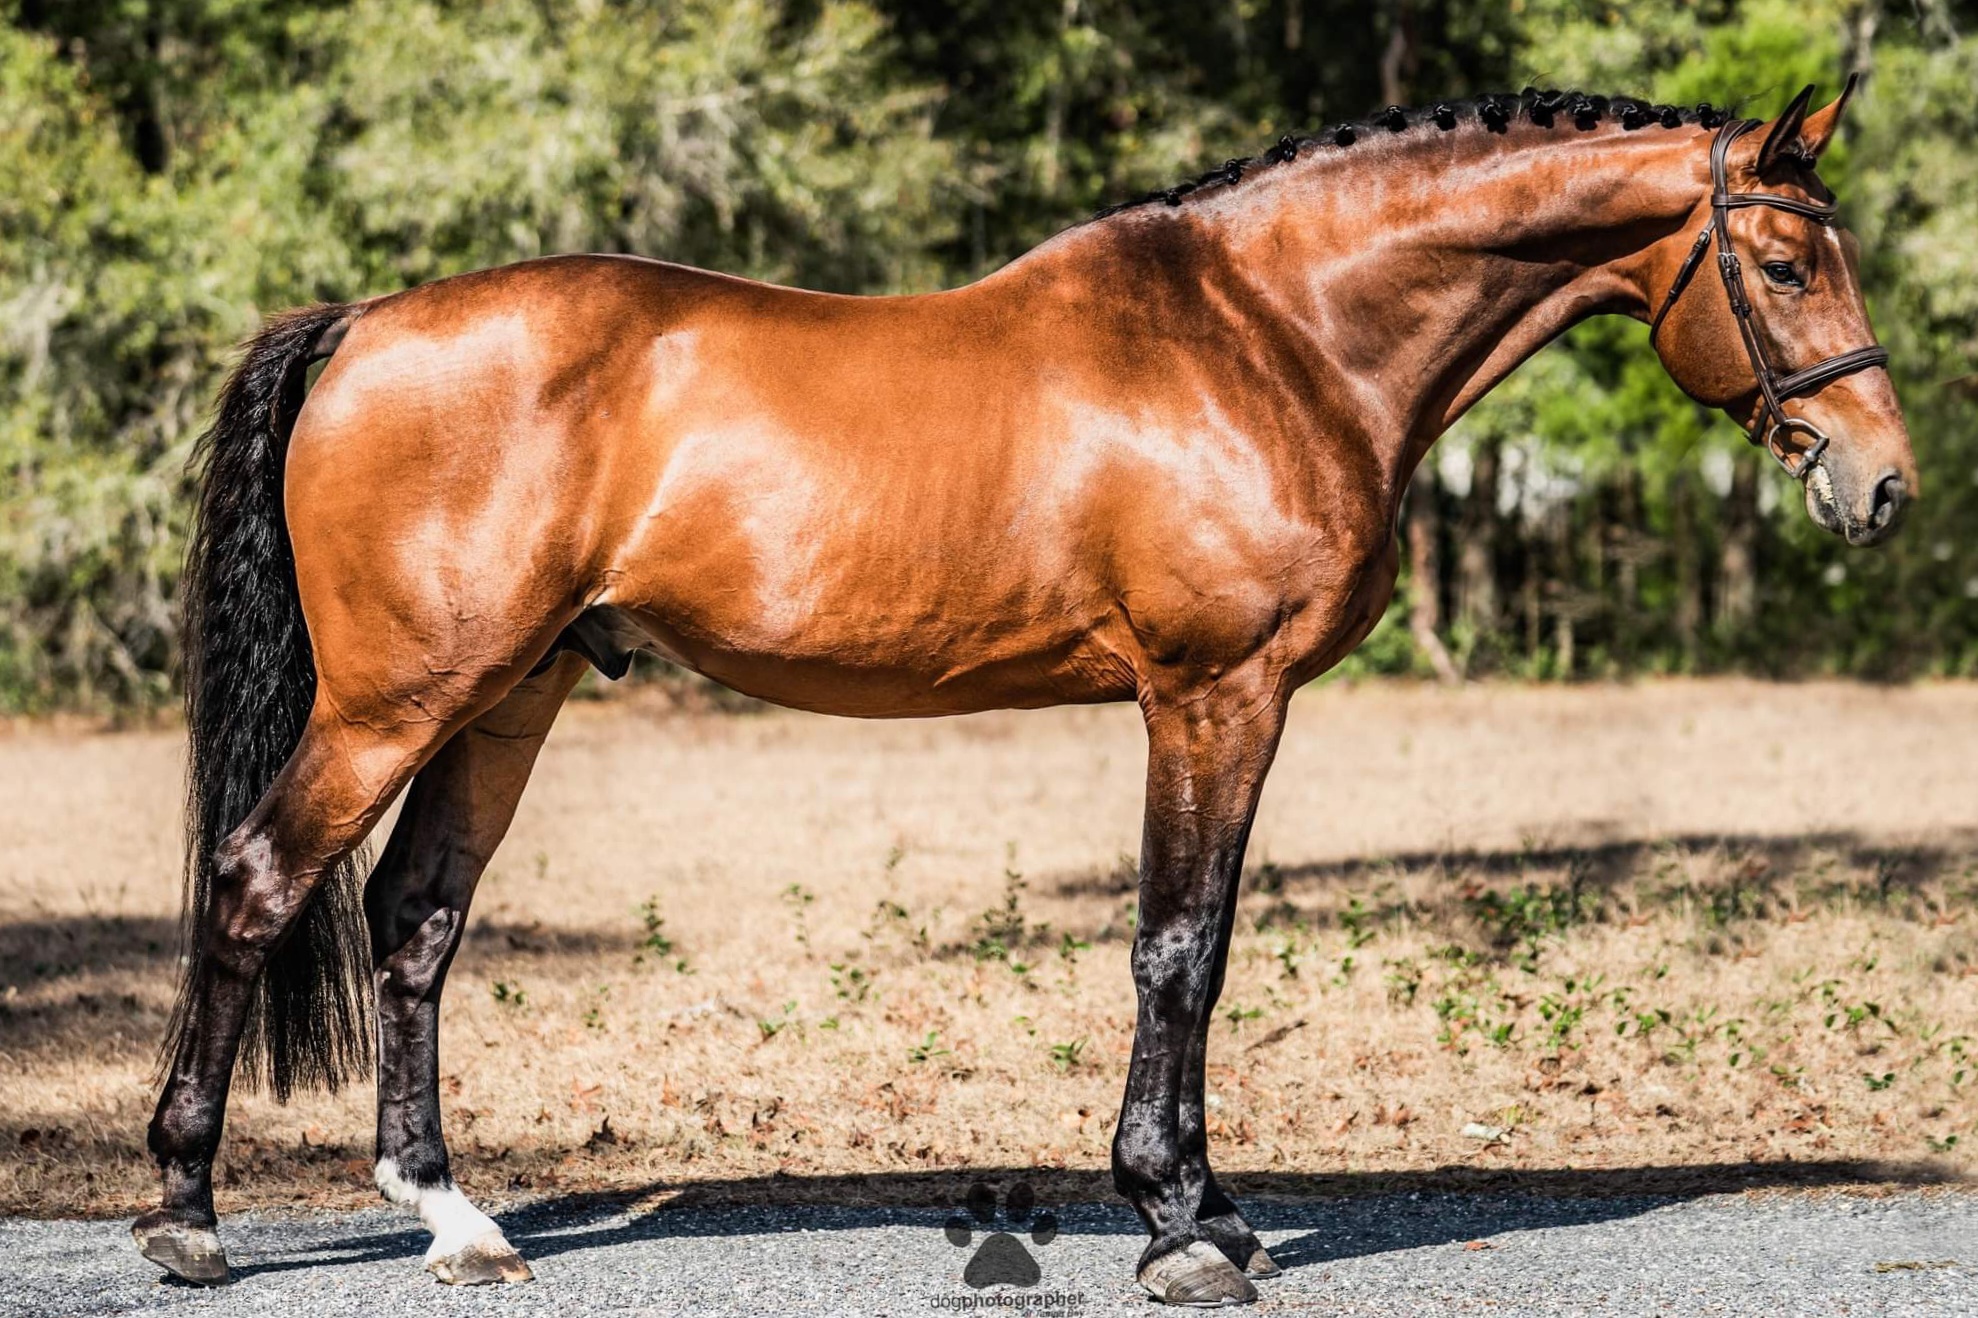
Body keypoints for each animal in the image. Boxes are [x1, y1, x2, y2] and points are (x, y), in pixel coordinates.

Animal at [135, 80, 1914, 1305]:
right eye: (1779, 261)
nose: (1880, 485)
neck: (1275, 334)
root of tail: (366, 322)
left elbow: (1192, 947)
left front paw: (1206, 1207)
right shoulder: (1212, 695)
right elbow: (1180, 948)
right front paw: (1182, 1222)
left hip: (509, 695)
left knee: (414, 921)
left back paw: (454, 1218)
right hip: (395, 697)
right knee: (257, 880)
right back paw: (184, 1214)